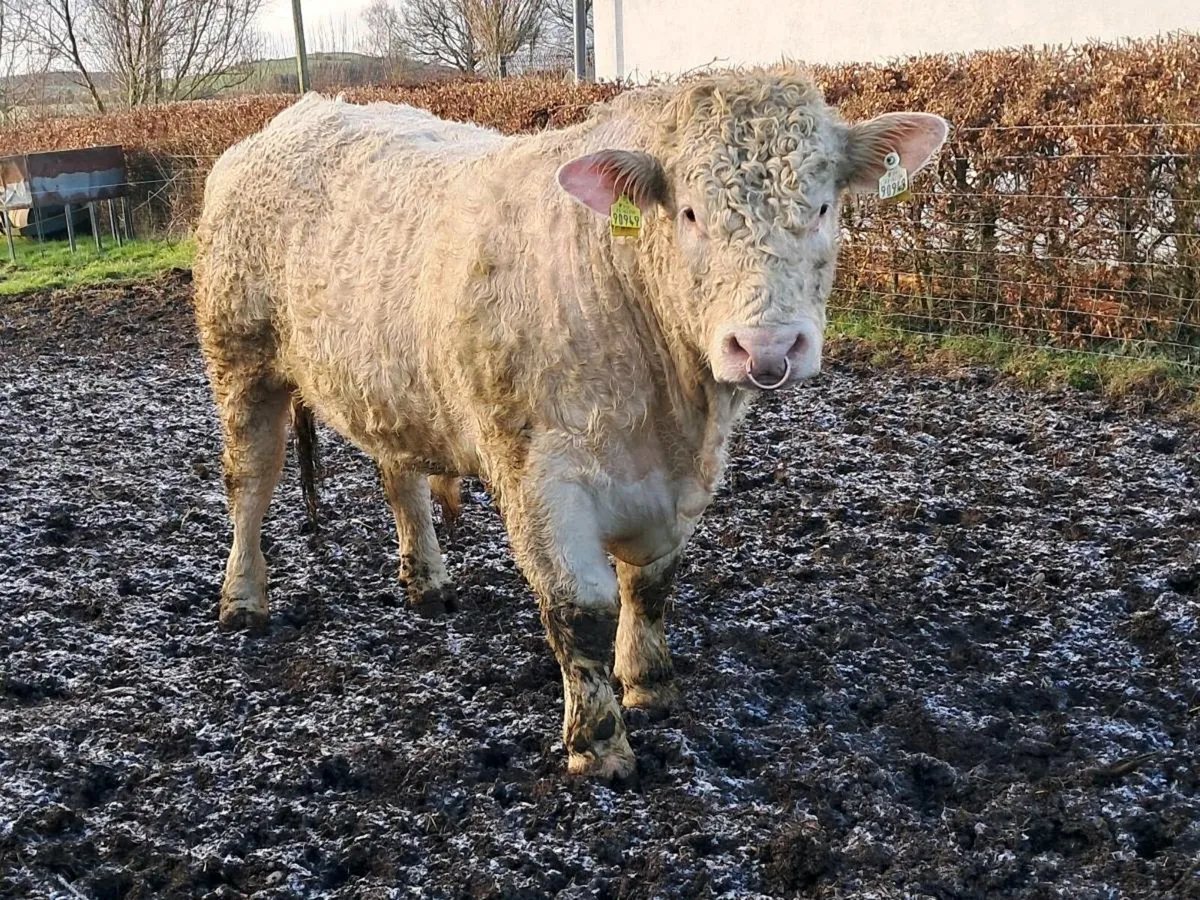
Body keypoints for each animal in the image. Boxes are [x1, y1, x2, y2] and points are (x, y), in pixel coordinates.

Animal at [192, 66, 948, 783]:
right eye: (690, 213)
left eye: (821, 207)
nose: (766, 346)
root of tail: (296, 116)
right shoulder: (539, 475)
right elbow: (579, 609)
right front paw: (599, 744)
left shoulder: (684, 481)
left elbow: (650, 584)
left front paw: (649, 683)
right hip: (240, 356)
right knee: (250, 483)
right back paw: (244, 598)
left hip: (391, 381)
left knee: (399, 477)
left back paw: (428, 583)